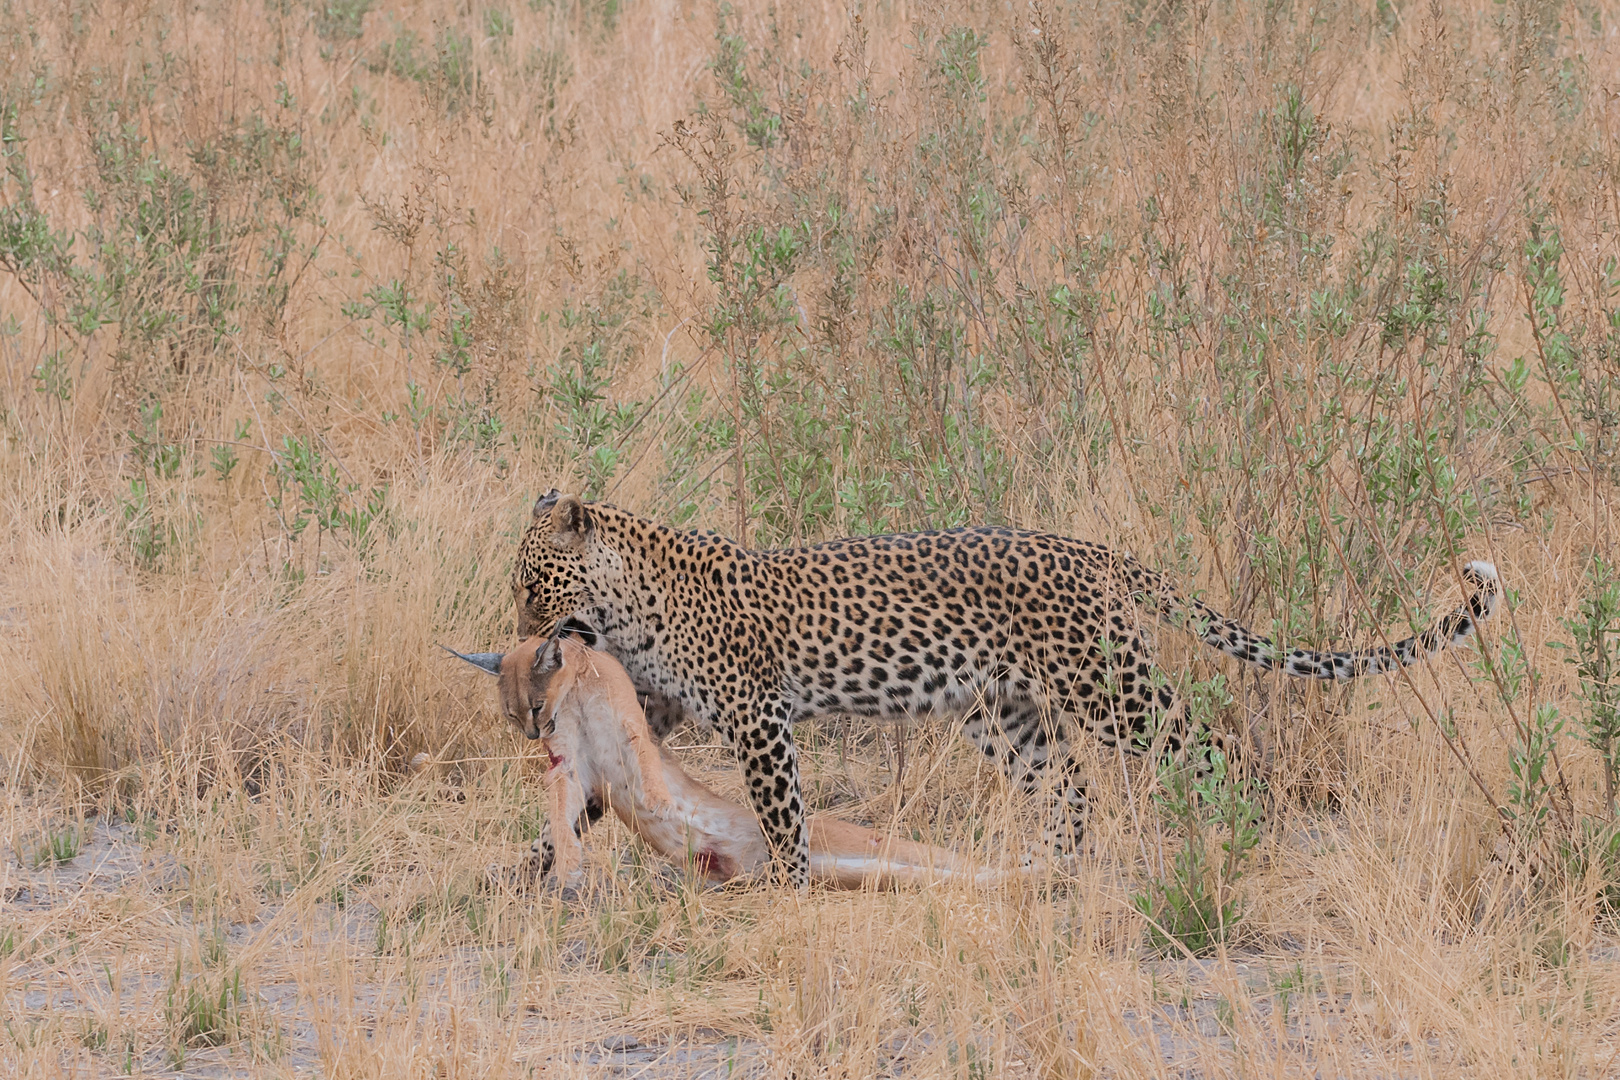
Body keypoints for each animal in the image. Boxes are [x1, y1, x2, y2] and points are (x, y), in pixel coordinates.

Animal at [511, 488, 1496, 887]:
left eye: (530, 584)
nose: (518, 632)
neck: (627, 599)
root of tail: (1096, 551)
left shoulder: (757, 716)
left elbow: (782, 812)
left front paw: (789, 887)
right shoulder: (665, 706)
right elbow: (601, 778)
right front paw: (537, 856)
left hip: (1116, 690)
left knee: (1215, 751)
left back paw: (1248, 840)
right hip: (1009, 715)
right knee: (1071, 791)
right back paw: (1048, 873)